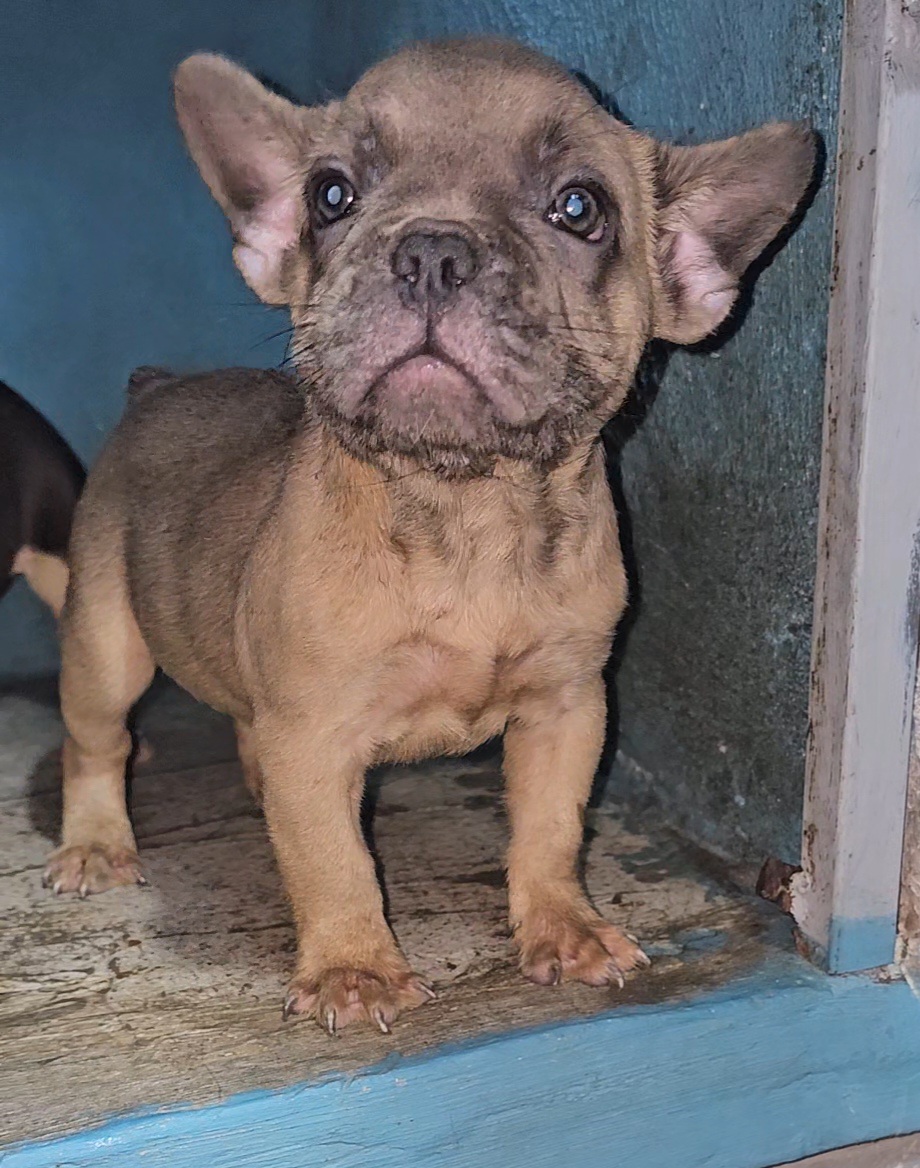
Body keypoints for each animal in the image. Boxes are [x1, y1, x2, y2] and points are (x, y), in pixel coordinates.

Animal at [46, 36, 817, 1032]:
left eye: (581, 208)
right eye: (331, 194)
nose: (432, 250)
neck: (466, 505)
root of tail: (156, 388)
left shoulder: (567, 708)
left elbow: (551, 830)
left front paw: (563, 927)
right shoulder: (316, 731)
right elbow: (333, 858)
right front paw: (354, 966)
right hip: (106, 640)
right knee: (97, 741)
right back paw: (97, 844)